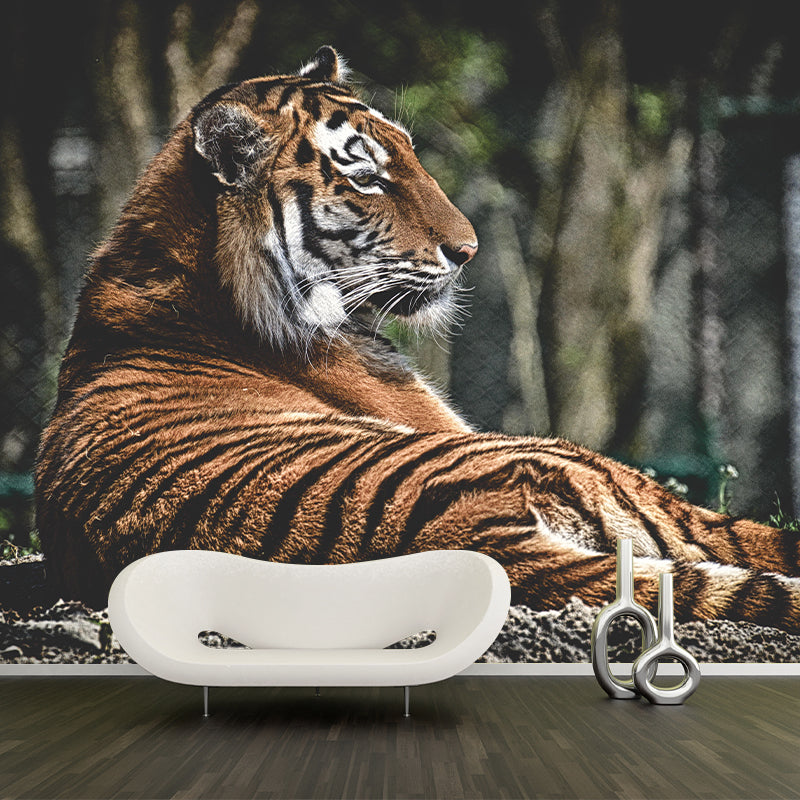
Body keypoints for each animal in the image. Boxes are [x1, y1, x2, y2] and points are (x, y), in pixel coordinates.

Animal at [35, 46, 800, 636]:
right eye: (367, 177)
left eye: (409, 155)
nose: (468, 251)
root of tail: (468, 538)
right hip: (575, 462)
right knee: (741, 535)